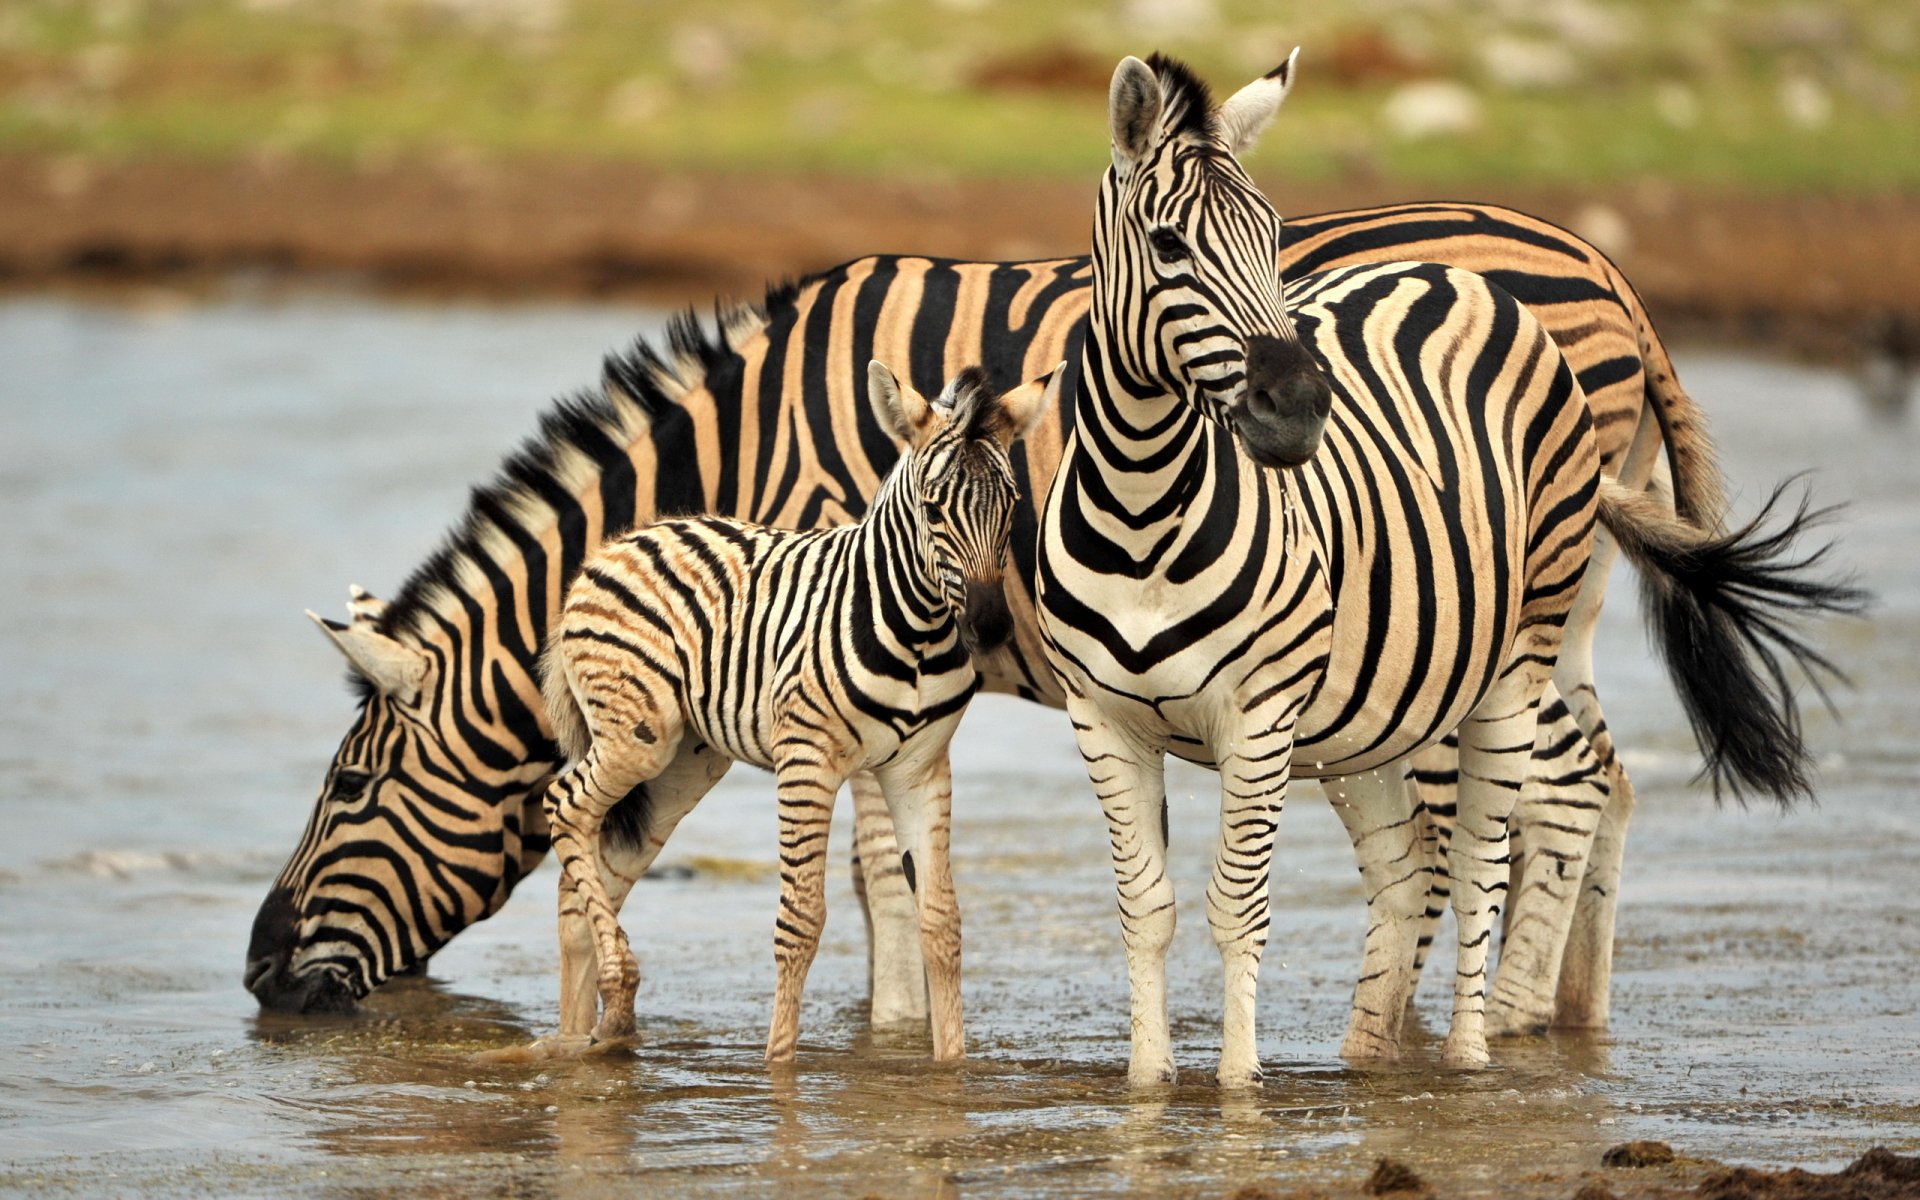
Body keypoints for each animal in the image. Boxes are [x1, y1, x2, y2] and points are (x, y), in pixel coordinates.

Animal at [537, 357, 1052, 1059]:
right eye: (933, 509)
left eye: (1014, 505)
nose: (992, 627)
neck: (918, 631)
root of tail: (619, 542)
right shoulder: (807, 759)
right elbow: (801, 920)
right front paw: (778, 1064)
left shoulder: (920, 767)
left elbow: (941, 921)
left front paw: (952, 1066)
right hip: (637, 735)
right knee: (564, 806)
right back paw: (617, 995)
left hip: (683, 762)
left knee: (585, 867)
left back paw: (581, 1035)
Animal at [1036, 51, 1858, 1082]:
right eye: (1168, 244)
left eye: (1275, 238)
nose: (1298, 407)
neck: (1144, 507)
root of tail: (1461, 279)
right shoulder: (1102, 720)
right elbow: (1147, 911)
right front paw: (1147, 1088)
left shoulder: (1257, 717)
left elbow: (1238, 909)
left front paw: (1239, 1091)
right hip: (1382, 707)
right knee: (1409, 867)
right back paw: (1370, 1059)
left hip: (1515, 661)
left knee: (1480, 857)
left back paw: (1471, 1057)